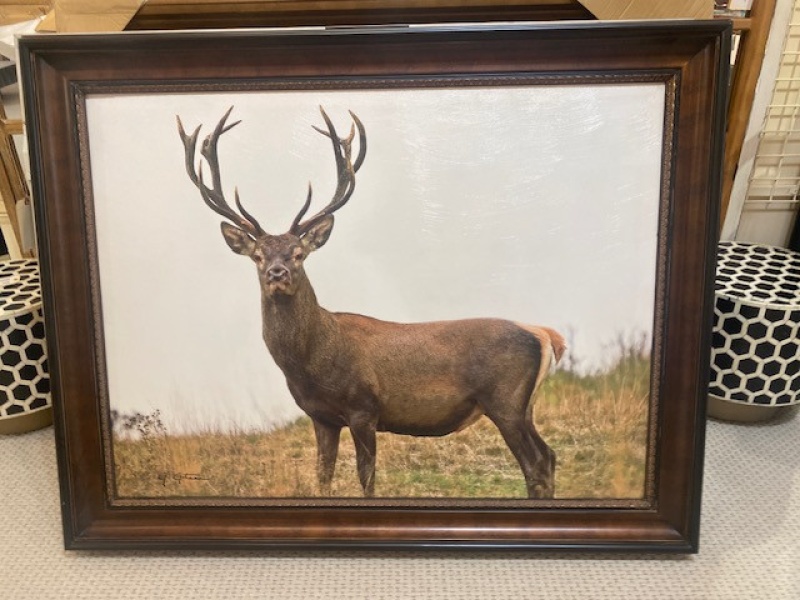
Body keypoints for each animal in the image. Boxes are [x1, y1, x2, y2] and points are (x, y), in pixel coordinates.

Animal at [177, 106, 566, 499]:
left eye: (299, 253)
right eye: (257, 255)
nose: (277, 273)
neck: (312, 362)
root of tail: (546, 335)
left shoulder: (364, 407)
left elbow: (366, 477)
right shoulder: (321, 417)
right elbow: (323, 476)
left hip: (506, 399)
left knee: (535, 462)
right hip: (523, 406)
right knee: (548, 457)